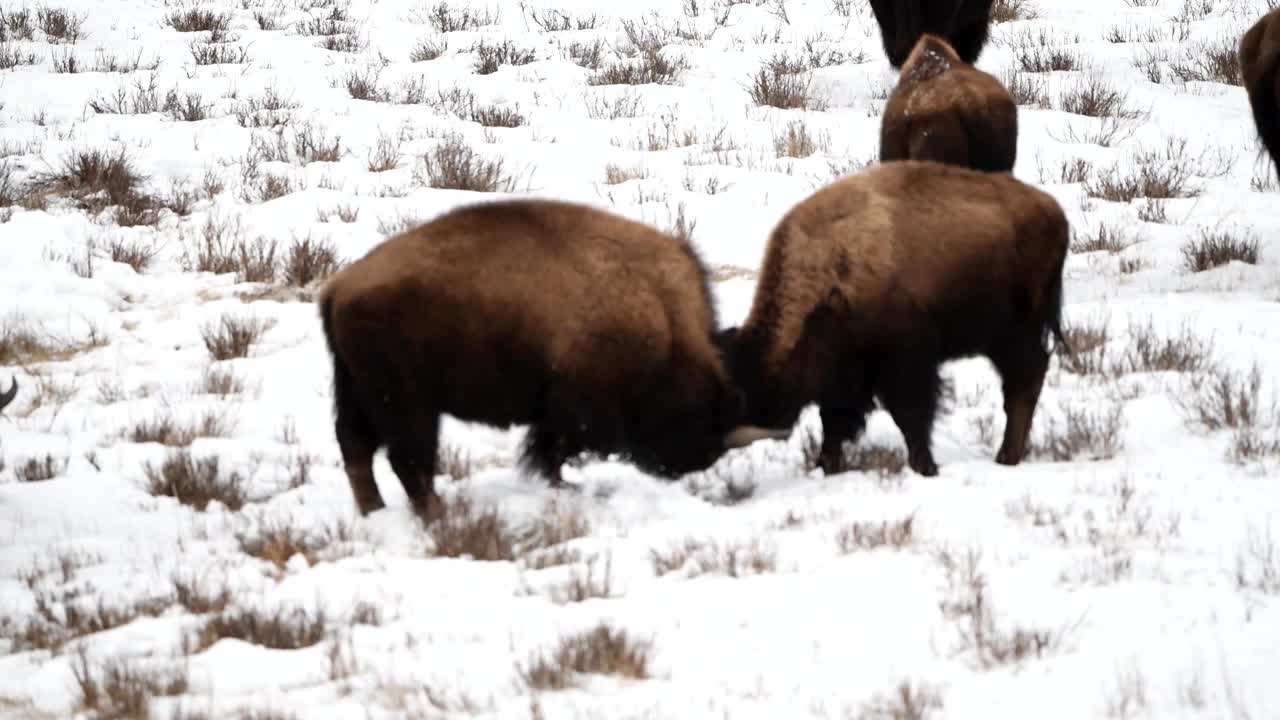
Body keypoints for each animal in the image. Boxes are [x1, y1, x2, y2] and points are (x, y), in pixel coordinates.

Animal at [317, 196, 788, 517]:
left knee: (358, 449)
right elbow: (557, 448)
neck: (659, 317)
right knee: (407, 459)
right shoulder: (577, 408)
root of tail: (340, 288)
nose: (675, 469)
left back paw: (378, 511)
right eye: (694, 421)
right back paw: (438, 515)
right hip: (407, 402)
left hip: (356, 390)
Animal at [711, 161, 1070, 476]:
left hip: (1011, 333)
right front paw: (827, 465)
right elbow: (835, 421)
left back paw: (1006, 457)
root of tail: (1054, 212)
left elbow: (909, 416)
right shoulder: (847, 373)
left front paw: (925, 467)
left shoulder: (903, 363)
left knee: (1023, 382)